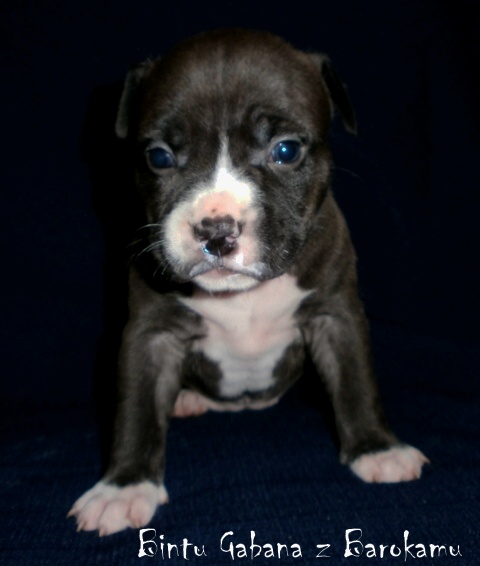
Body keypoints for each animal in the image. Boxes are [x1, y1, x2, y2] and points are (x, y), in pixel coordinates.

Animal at [69, 29, 428, 536]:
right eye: (158, 157)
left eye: (286, 151)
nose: (216, 230)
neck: (241, 297)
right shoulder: (150, 335)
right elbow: (136, 409)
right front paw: (124, 488)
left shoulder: (336, 315)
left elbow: (356, 381)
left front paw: (378, 449)